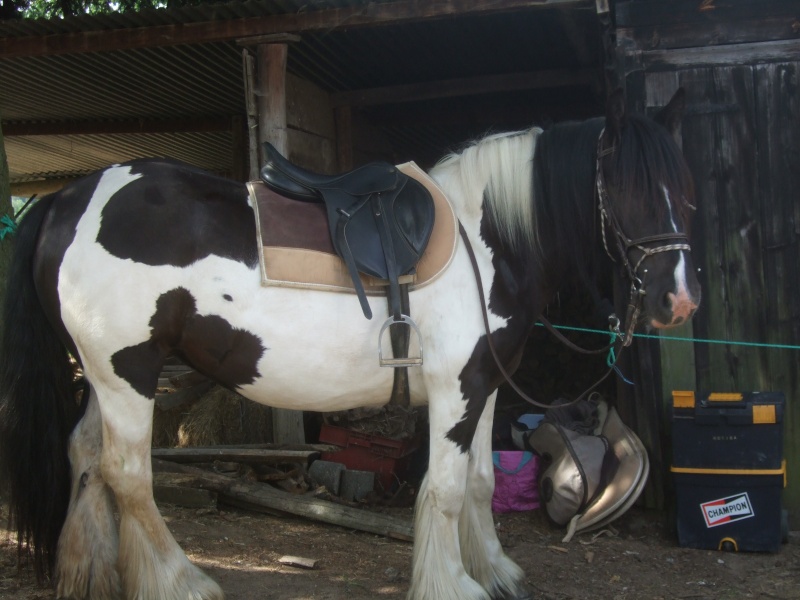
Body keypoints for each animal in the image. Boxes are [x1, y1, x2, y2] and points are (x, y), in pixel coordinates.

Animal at [0, 90, 700, 600]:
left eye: (685, 192)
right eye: (630, 190)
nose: (679, 300)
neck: (485, 240)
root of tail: (64, 199)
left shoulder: (484, 386)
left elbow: (478, 483)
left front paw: (495, 571)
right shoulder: (455, 391)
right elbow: (444, 491)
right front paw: (453, 586)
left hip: (103, 377)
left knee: (85, 455)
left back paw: (89, 573)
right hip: (129, 373)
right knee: (127, 474)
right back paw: (180, 582)